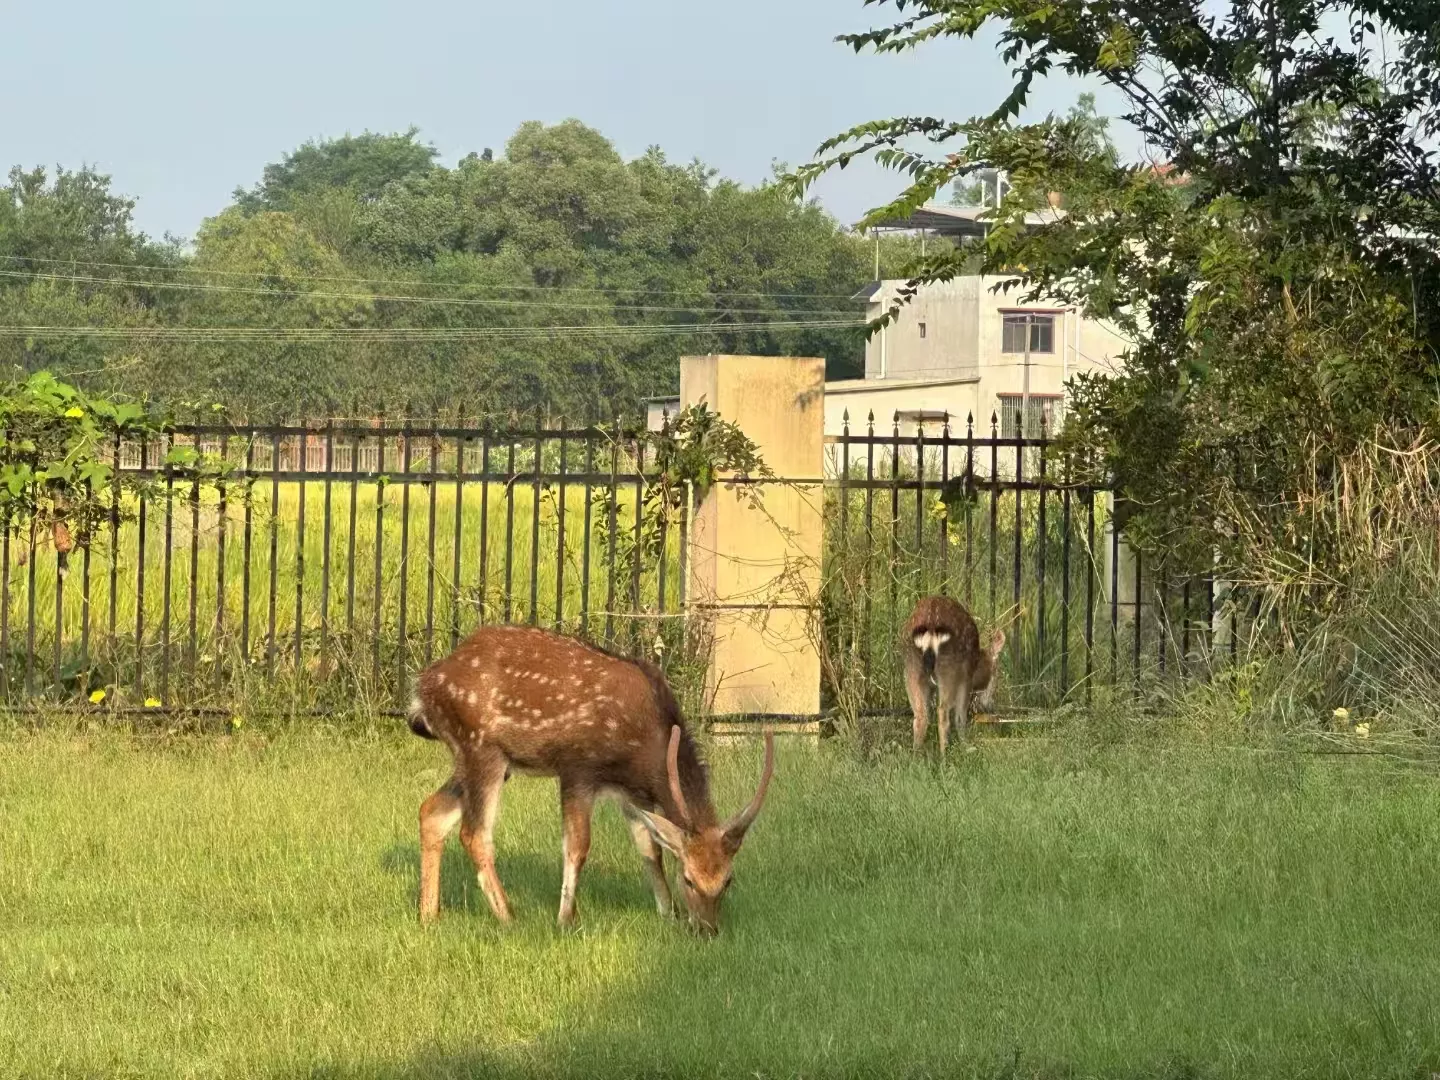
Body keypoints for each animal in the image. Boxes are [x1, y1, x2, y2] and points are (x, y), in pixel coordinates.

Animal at [407, 624, 775, 936]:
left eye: (728, 880)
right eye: (688, 879)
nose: (706, 930)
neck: (645, 748)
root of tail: (422, 690)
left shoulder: (634, 794)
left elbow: (650, 849)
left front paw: (667, 914)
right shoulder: (577, 768)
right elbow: (577, 845)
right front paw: (566, 920)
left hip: (483, 759)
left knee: (431, 811)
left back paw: (428, 916)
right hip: (482, 747)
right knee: (474, 833)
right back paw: (509, 917)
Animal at [902, 595, 1006, 754]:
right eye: (996, 673)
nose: (989, 705)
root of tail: (931, 631)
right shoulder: (966, 678)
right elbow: (961, 715)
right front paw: (966, 746)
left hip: (911, 667)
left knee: (921, 715)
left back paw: (916, 755)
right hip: (949, 669)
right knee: (943, 712)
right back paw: (945, 755)